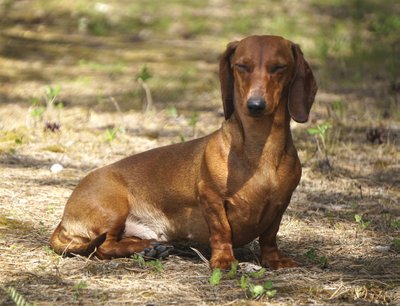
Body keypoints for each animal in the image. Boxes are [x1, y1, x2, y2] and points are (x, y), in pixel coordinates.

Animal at [50, 36, 318, 270]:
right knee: (103, 247)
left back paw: (148, 248)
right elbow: (222, 231)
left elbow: (270, 236)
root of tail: (63, 220)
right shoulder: (210, 198)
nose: (255, 105)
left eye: (279, 67)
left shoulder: (281, 203)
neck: (259, 149)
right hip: (113, 209)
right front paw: (224, 260)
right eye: (242, 66)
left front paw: (274, 260)